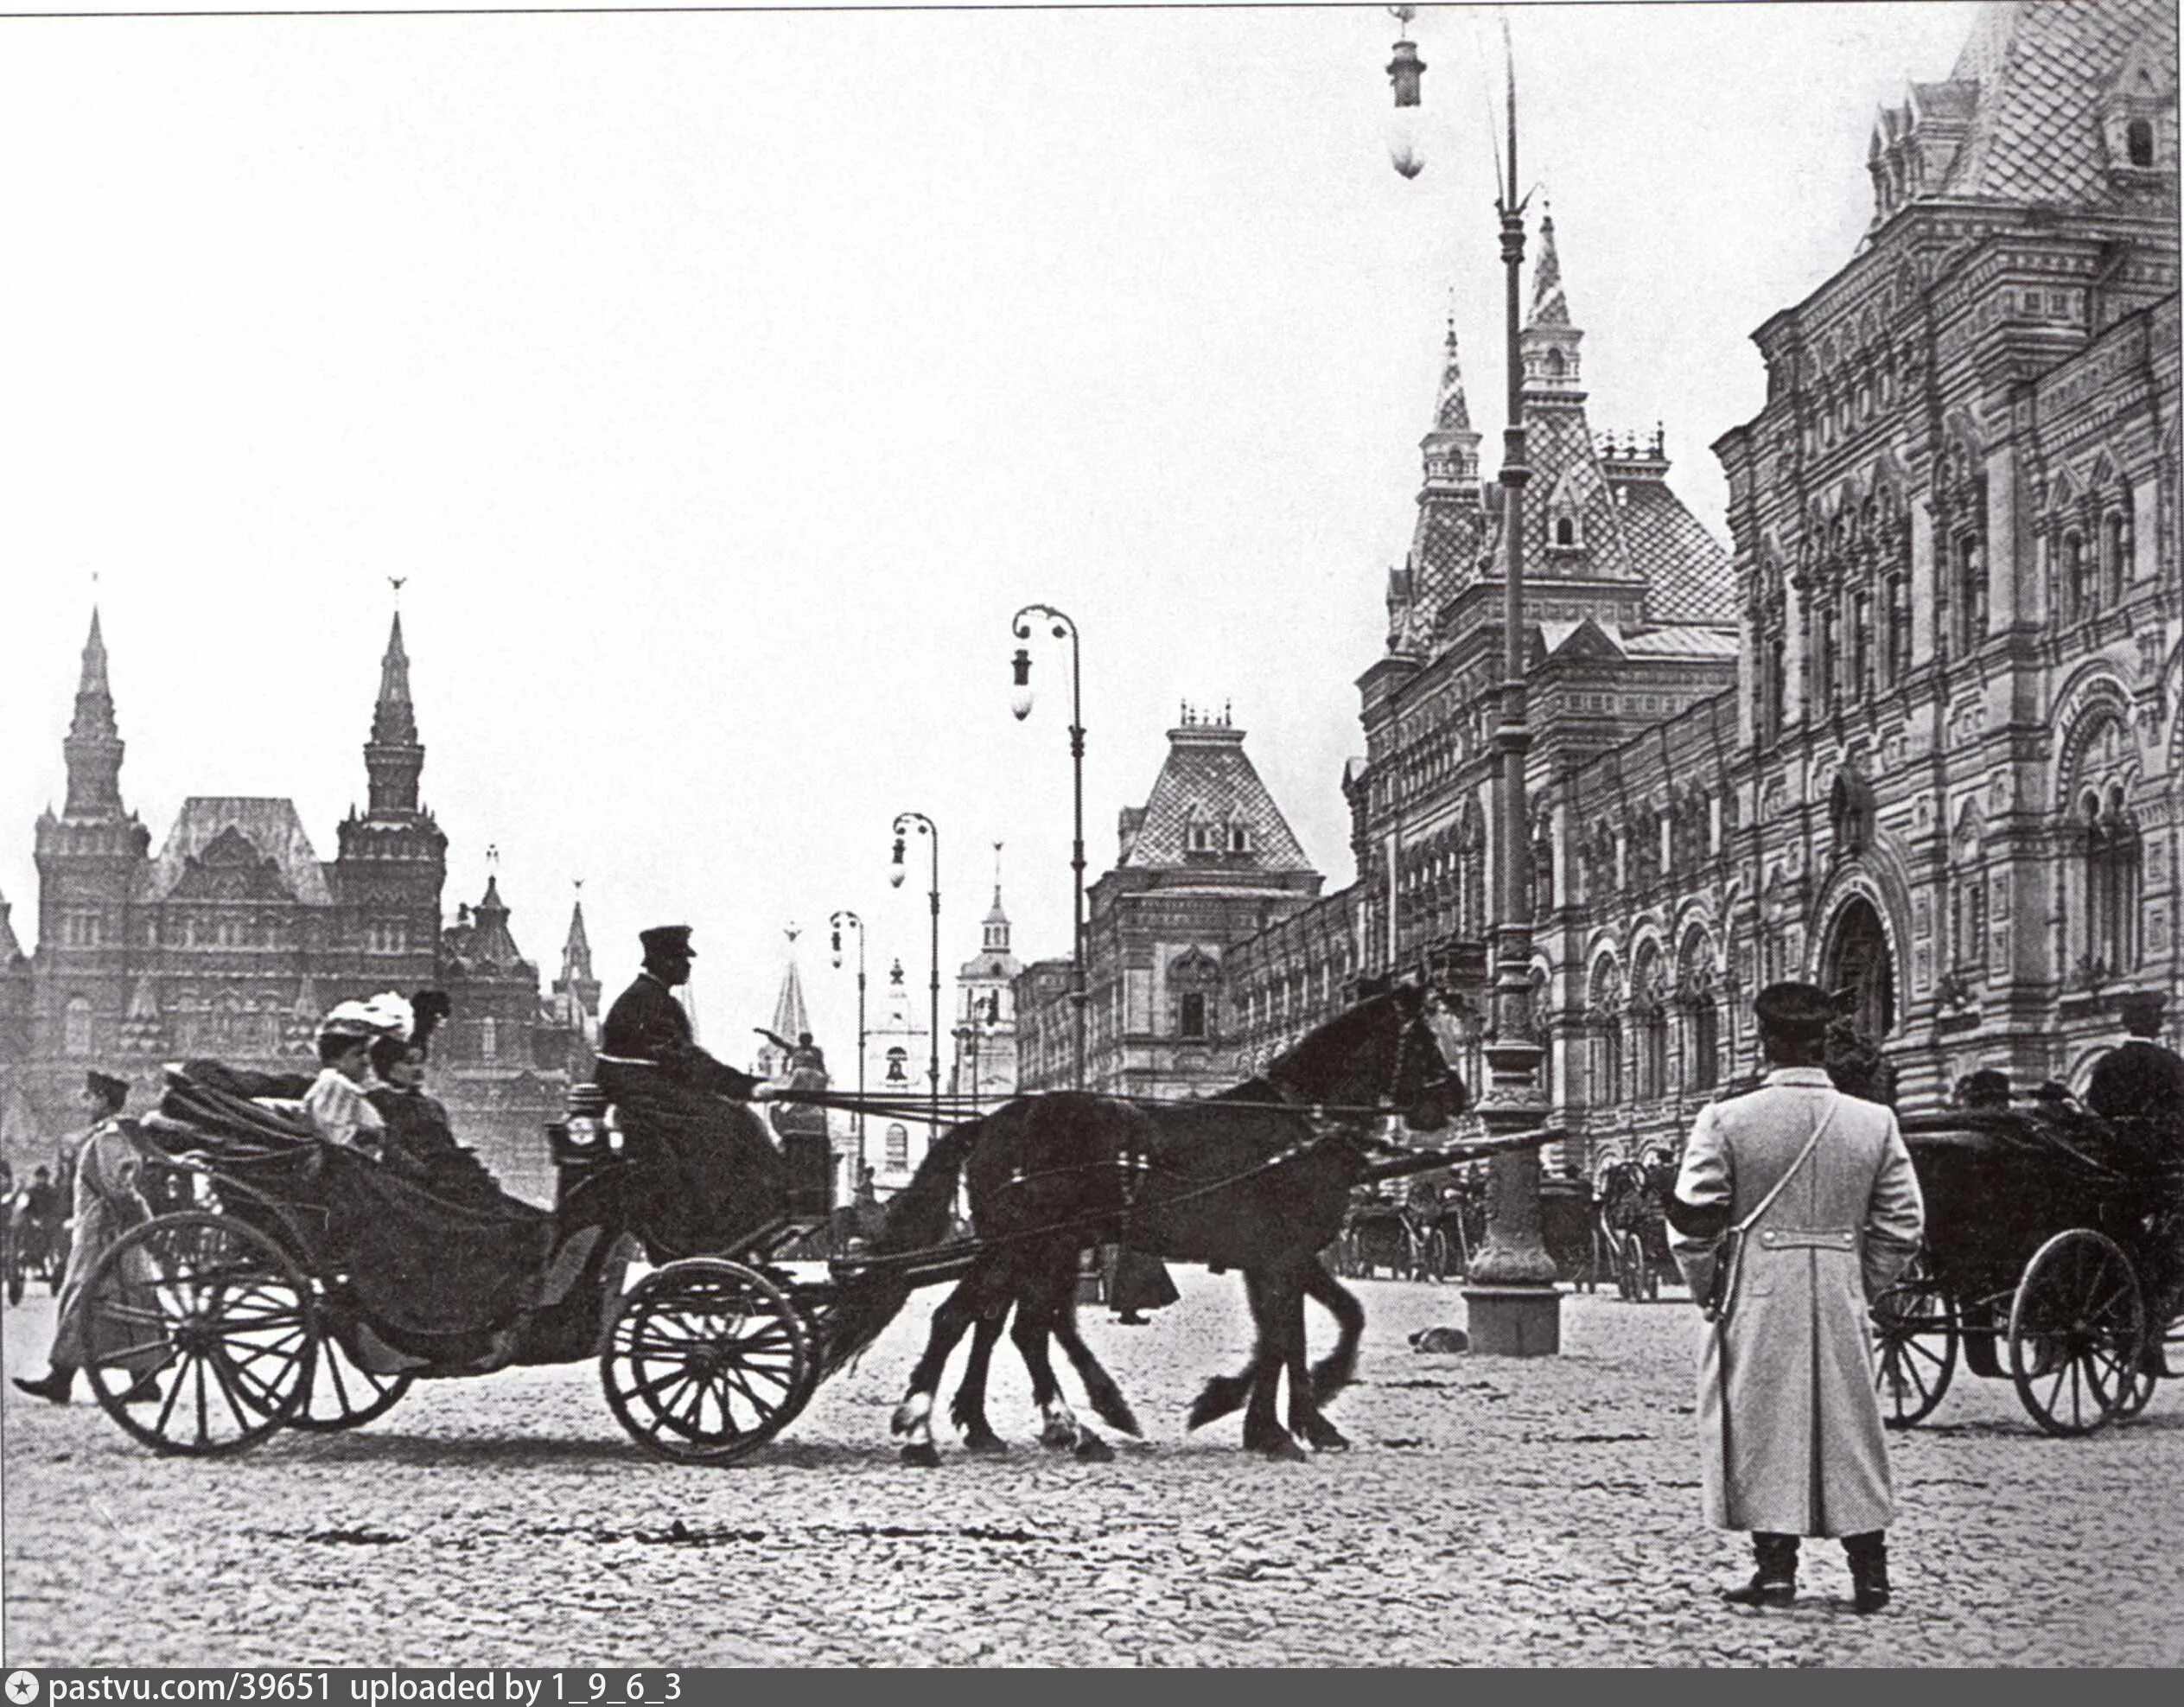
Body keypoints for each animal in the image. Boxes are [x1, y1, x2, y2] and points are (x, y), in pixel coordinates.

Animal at [821, 982, 1468, 1467]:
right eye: (1425, 1042)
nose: (1457, 1098)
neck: (1293, 1125)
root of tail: (991, 1122)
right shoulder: (1278, 1256)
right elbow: (1283, 1337)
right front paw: (1260, 1420)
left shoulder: (1282, 1257)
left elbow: (1313, 1326)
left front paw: (1291, 1418)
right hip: (1028, 1245)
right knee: (977, 1320)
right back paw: (935, 1431)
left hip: (1031, 1247)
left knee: (1005, 1323)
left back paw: (1032, 1427)